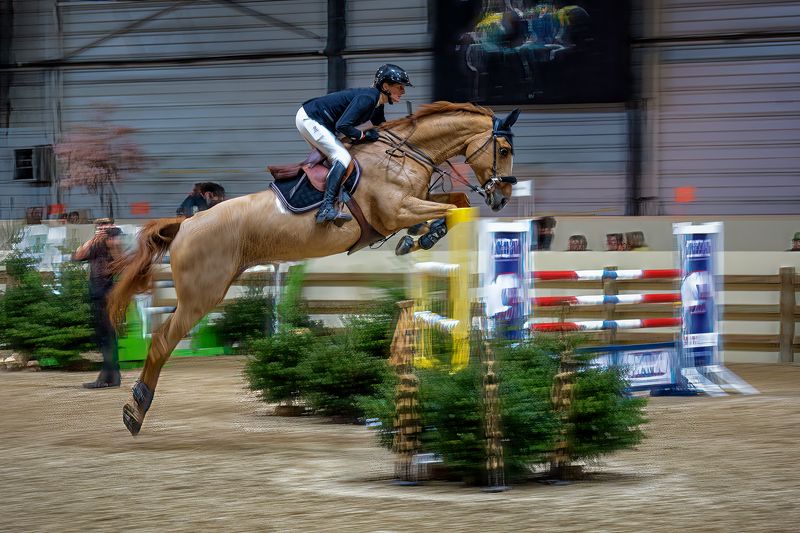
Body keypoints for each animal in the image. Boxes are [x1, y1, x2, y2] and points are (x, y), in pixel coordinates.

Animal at [107, 101, 520, 436]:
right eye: (503, 149)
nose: (502, 199)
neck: (406, 154)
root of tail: (186, 224)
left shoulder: (416, 201)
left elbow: (457, 200)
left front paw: (417, 238)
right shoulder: (396, 210)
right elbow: (451, 209)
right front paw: (422, 235)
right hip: (202, 295)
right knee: (163, 341)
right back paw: (135, 411)